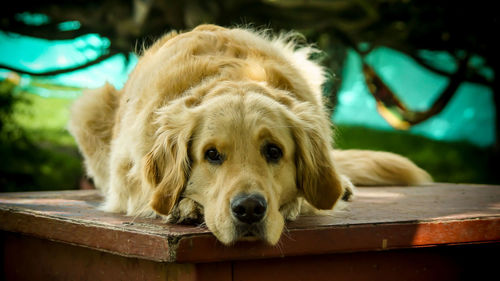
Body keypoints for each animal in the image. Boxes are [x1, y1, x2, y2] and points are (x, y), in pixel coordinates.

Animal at [68, 25, 432, 245]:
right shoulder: (126, 178)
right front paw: (184, 205)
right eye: (211, 154)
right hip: (89, 107)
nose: (249, 210)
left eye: (273, 151)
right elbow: (151, 194)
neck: (235, 77)